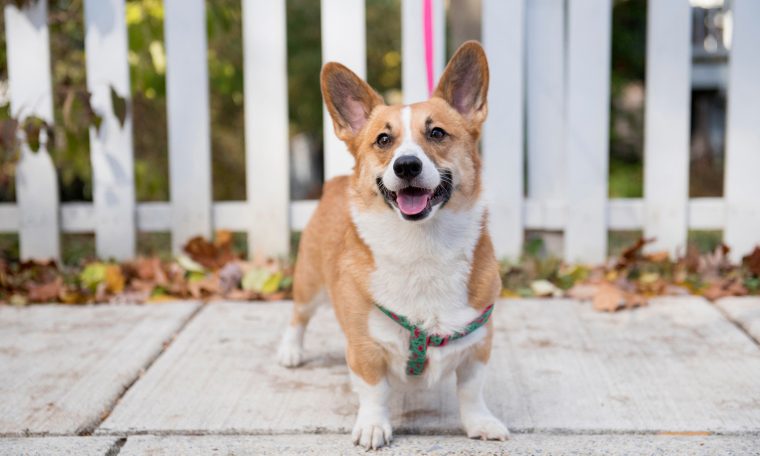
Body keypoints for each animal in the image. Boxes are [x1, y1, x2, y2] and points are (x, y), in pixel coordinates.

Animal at [276, 41, 508, 448]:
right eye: (384, 140)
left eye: (437, 133)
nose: (407, 166)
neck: (422, 247)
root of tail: (337, 181)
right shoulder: (365, 349)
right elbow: (374, 391)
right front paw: (373, 426)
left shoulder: (478, 343)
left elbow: (471, 391)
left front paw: (481, 423)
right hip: (309, 282)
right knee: (298, 315)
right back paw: (291, 349)